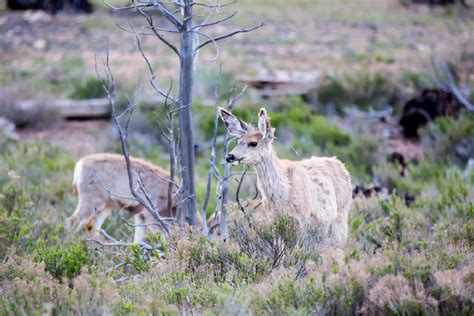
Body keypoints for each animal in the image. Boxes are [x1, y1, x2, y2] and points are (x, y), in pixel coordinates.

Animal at [219, 107, 352, 243]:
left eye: (253, 143)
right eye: (238, 141)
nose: (229, 156)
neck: (283, 193)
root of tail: (341, 165)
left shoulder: (302, 218)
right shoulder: (273, 219)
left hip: (341, 213)